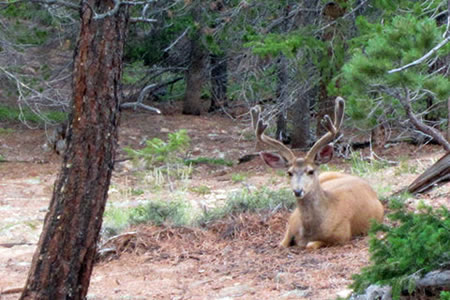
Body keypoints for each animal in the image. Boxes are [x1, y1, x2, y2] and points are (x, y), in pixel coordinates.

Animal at [250, 98, 384, 248]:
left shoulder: (342, 235)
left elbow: (310, 245)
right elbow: (281, 244)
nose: (298, 191)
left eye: (310, 171)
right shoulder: (290, 222)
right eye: (289, 172)